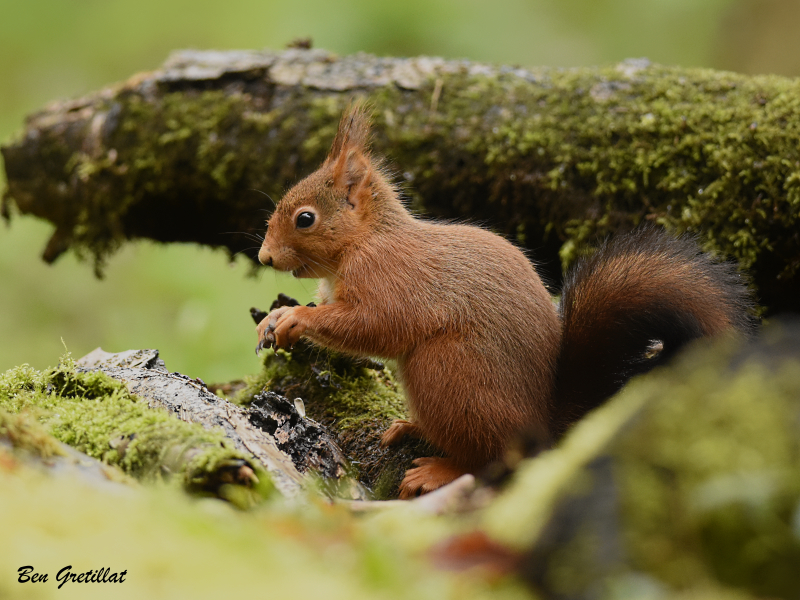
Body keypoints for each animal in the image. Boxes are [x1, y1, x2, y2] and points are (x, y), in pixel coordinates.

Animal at [256, 104, 756, 496]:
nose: (264, 256)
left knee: (495, 460)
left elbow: (373, 326)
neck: (366, 241)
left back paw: (441, 470)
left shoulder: (391, 282)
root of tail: (543, 424)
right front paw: (276, 317)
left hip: (447, 373)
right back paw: (411, 428)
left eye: (305, 219)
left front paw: (294, 318)